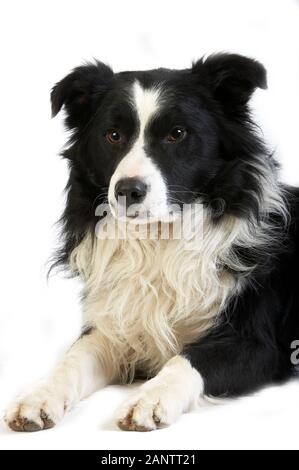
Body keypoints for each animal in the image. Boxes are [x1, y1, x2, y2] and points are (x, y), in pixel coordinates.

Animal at [5, 53, 299, 432]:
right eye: (113, 135)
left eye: (177, 134)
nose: (128, 191)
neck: (159, 239)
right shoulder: (116, 324)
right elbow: (73, 357)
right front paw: (38, 396)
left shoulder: (257, 344)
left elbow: (187, 359)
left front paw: (148, 400)